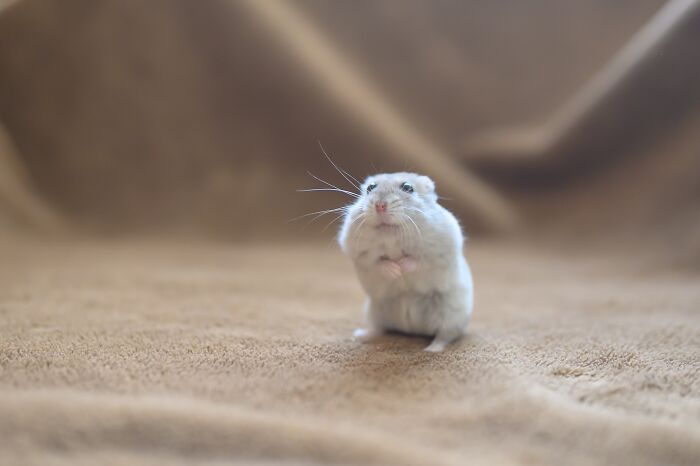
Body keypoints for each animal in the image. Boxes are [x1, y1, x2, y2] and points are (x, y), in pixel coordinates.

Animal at [338, 172, 474, 352]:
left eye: (408, 187)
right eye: (370, 188)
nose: (380, 205)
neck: (390, 233)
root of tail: (411, 329)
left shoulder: (439, 250)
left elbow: (418, 260)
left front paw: (400, 268)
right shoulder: (358, 252)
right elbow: (377, 262)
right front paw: (394, 271)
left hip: (452, 316)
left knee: (444, 336)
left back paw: (431, 350)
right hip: (374, 310)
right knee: (378, 328)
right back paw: (360, 335)